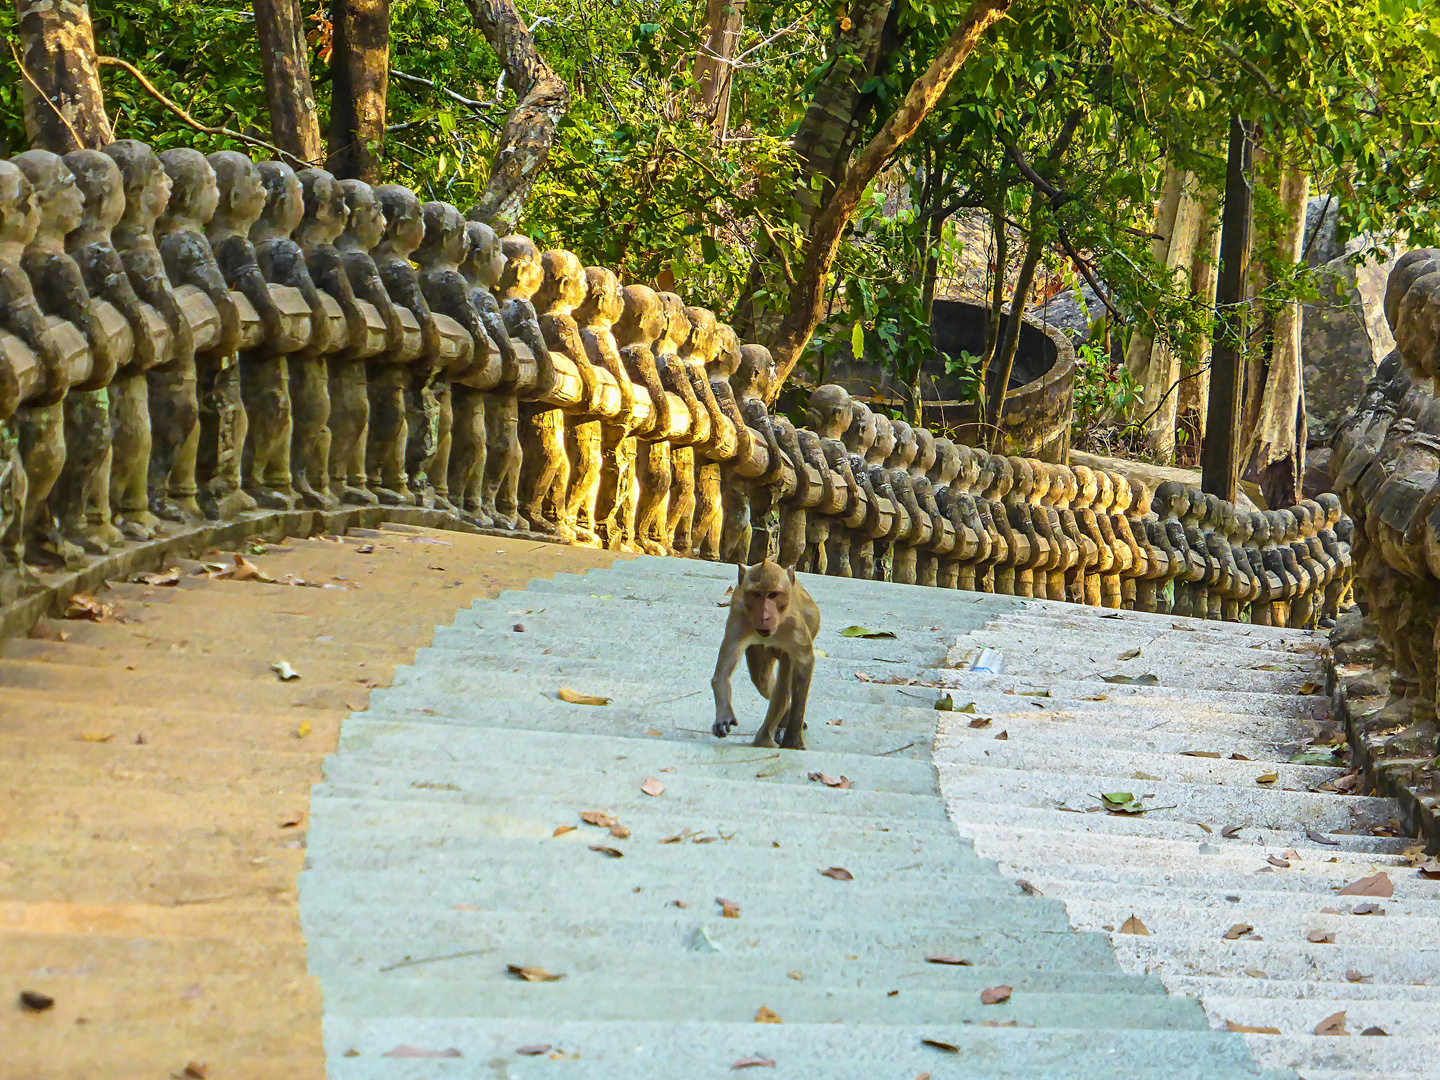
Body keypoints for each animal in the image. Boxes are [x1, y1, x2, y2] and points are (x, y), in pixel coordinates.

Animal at [711, 561, 823, 748]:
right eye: (756, 594)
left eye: (773, 595)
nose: (764, 617)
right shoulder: (739, 620)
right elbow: (722, 674)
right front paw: (724, 715)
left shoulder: (794, 626)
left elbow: (804, 664)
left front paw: (793, 741)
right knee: (761, 678)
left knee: (784, 679)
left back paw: (768, 736)